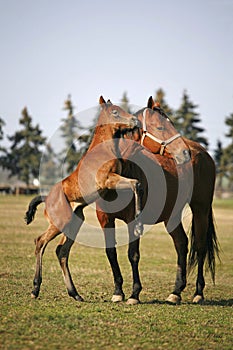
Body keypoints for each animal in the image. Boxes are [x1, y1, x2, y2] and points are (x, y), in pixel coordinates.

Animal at [24, 96, 143, 300]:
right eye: (115, 112)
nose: (135, 121)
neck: (105, 149)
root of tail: (47, 199)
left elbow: (135, 183)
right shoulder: (108, 179)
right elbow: (135, 183)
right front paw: (137, 219)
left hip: (74, 222)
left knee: (61, 251)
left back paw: (75, 293)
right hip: (60, 222)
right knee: (40, 242)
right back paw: (35, 289)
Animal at [95, 97, 220, 304]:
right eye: (160, 127)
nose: (185, 153)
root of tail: (203, 152)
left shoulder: (133, 221)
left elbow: (133, 255)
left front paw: (134, 294)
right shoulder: (105, 219)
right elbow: (111, 252)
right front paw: (118, 292)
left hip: (200, 210)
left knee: (200, 247)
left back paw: (198, 293)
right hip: (172, 216)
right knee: (181, 244)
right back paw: (175, 292)